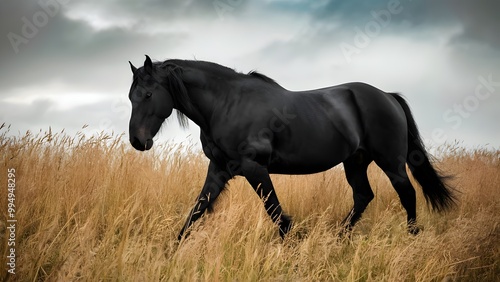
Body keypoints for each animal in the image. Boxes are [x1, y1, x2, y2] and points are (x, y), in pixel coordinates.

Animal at [127, 55, 456, 240]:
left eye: (148, 94)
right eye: (131, 96)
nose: (137, 141)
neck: (227, 104)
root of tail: (388, 96)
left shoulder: (254, 167)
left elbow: (274, 210)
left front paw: (293, 241)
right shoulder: (219, 168)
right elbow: (197, 210)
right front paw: (173, 249)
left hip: (390, 161)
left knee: (407, 193)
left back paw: (411, 237)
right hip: (355, 162)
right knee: (363, 196)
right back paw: (340, 238)